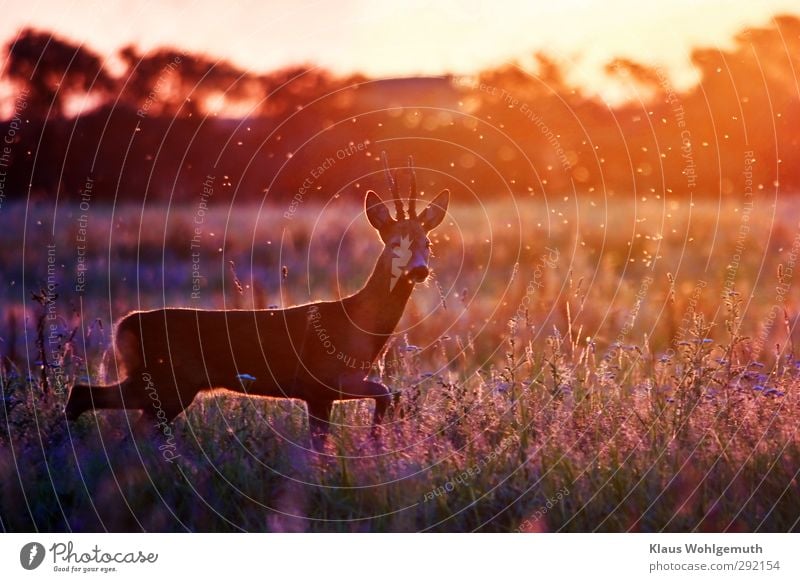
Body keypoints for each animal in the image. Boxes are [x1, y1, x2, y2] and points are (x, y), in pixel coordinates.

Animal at [65, 153, 450, 450]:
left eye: (427, 243)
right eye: (395, 243)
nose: (419, 270)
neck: (358, 322)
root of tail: (123, 326)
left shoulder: (320, 394)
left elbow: (338, 430)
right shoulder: (322, 379)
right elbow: (384, 392)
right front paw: (373, 442)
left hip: (163, 385)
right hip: (165, 379)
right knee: (84, 395)